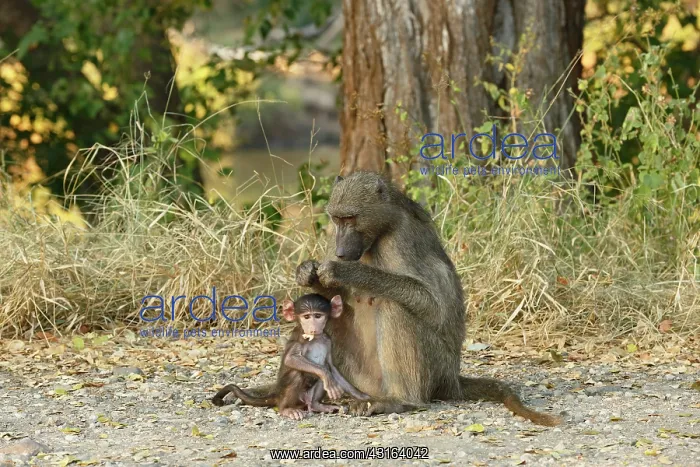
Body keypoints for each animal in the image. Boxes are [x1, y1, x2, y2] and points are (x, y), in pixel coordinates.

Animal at [211, 294, 369, 420]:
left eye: (318, 316)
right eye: (306, 317)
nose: (312, 328)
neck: (315, 339)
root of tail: (277, 395)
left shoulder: (328, 340)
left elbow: (331, 367)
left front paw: (362, 396)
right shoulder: (299, 339)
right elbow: (292, 360)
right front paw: (326, 376)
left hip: (306, 397)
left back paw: (317, 405)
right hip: (287, 395)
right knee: (297, 374)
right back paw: (286, 409)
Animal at [292, 171, 561, 427]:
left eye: (350, 218)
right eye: (337, 219)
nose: (341, 253)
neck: (382, 229)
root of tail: (453, 379)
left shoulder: (402, 238)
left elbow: (433, 305)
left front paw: (342, 271)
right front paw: (307, 271)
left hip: (436, 368)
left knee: (395, 307)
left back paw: (402, 400)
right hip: (360, 380)